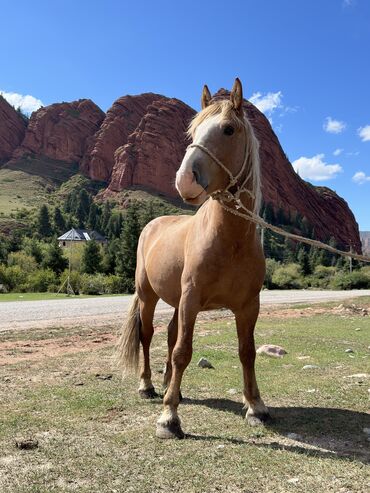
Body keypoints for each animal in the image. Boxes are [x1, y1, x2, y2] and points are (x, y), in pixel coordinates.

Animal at [117, 78, 270, 438]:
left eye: (228, 129)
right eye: (193, 131)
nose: (184, 179)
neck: (231, 241)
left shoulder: (248, 306)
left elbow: (247, 352)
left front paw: (255, 406)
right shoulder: (192, 298)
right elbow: (182, 352)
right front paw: (169, 417)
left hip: (176, 301)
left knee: (171, 334)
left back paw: (171, 387)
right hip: (149, 296)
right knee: (149, 336)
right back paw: (148, 386)